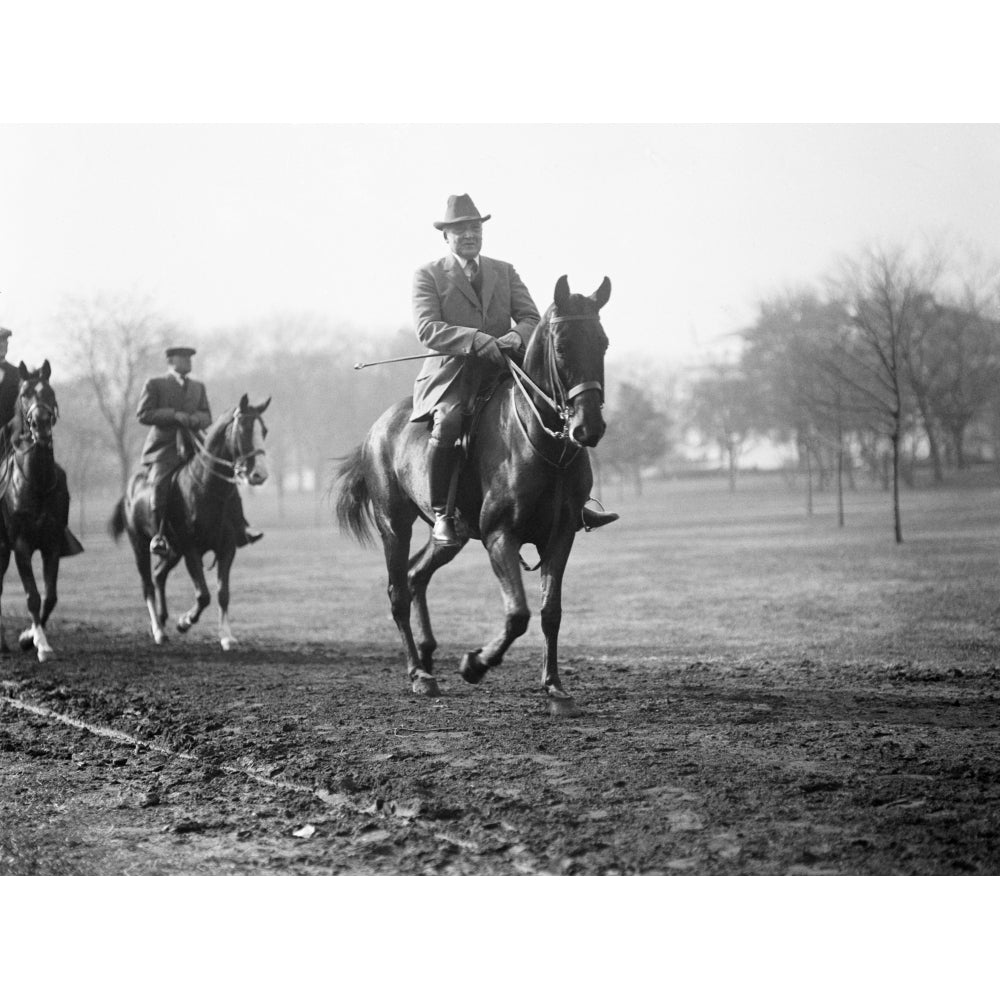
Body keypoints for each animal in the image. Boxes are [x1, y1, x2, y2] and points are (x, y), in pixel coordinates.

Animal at [0, 362, 83, 664]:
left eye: (49, 391)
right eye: (24, 393)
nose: (41, 423)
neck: (35, 479)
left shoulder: (51, 545)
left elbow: (50, 596)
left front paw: (28, 638)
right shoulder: (22, 546)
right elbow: (32, 596)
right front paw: (42, 645)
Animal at [110, 390, 270, 648]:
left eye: (264, 431)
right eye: (244, 429)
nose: (260, 475)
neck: (207, 488)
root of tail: (128, 491)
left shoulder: (226, 548)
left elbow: (222, 593)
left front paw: (226, 636)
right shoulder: (190, 549)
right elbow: (203, 595)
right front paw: (185, 621)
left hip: (173, 551)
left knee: (159, 575)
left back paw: (162, 619)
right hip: (140, 545)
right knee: (147, 584)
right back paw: (158, 630)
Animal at [338, 274, 608, 712]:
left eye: (602, 342)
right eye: (562, 346)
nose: (589, 428)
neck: (542, 446)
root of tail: (376, 430)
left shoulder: (560, 536)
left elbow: (550, 611)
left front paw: (554, 686)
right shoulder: (500, 535)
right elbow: (518, 613)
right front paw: (475, 664)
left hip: (453, 536)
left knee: (415, 575)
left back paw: (428, 653)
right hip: (394, 526)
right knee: (398, 591)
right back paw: (419, 674)